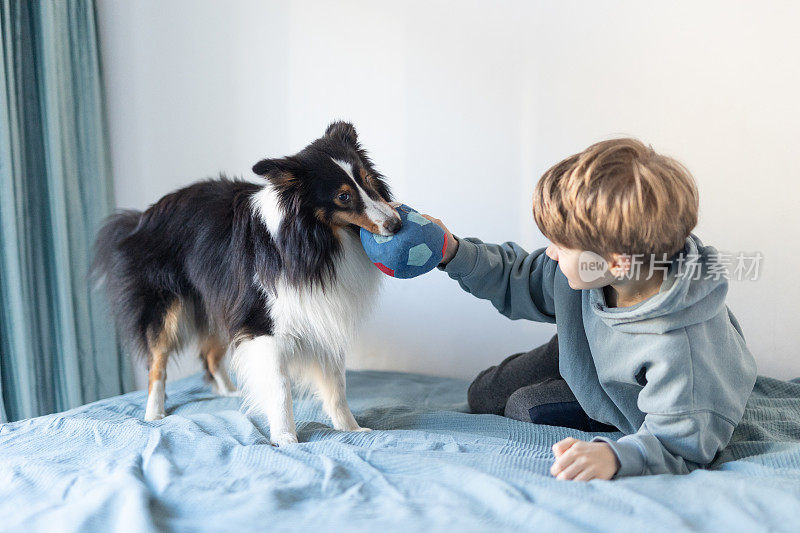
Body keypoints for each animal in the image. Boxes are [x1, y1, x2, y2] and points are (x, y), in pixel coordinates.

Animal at [93, 121, 400, 444]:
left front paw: (351, 429)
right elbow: (280, 387)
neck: (312, 239)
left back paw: (229, 392)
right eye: (343, 197)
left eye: (368, 180)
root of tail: (139, 218)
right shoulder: (262, 324)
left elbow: (337, 384)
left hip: (218, 301)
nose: (396, 224)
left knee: (210, 355)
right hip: (166, 309)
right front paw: (285, 438)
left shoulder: (324, 314)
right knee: (157, 363)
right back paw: (154, 413)